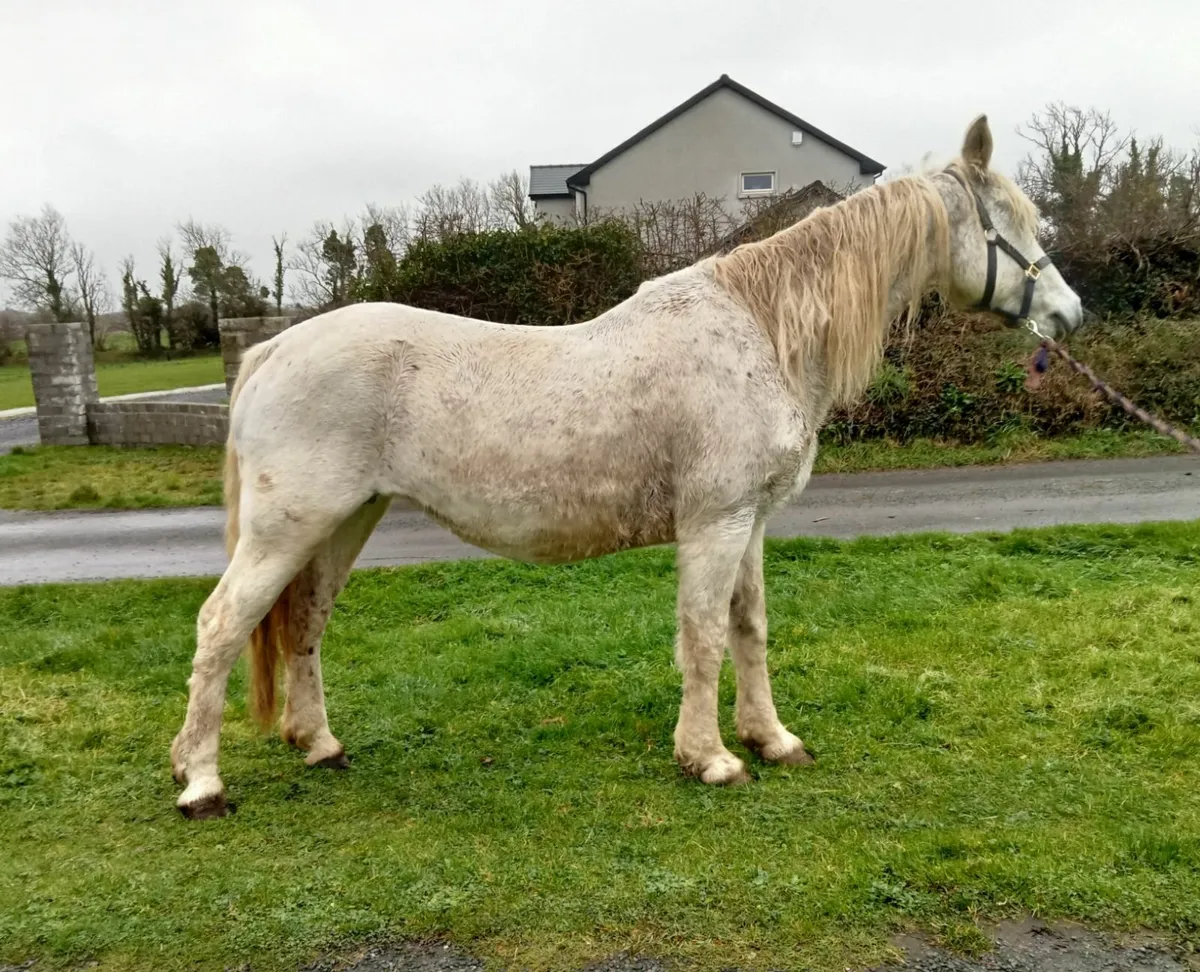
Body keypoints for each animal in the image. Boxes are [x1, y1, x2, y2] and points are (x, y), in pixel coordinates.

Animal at [171, 115, 1084, 819]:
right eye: (1012, 225)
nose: (1071, 315)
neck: (760, 331)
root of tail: (273, 348)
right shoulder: (713, 524)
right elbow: (703, 635)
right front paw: (710, 757)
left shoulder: (750, 524)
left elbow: (750, 629)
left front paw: (772, 739)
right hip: (287, 528)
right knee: (221, 626)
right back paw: (201, 783)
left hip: (343, 522)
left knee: (305, 621)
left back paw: (320, 744)